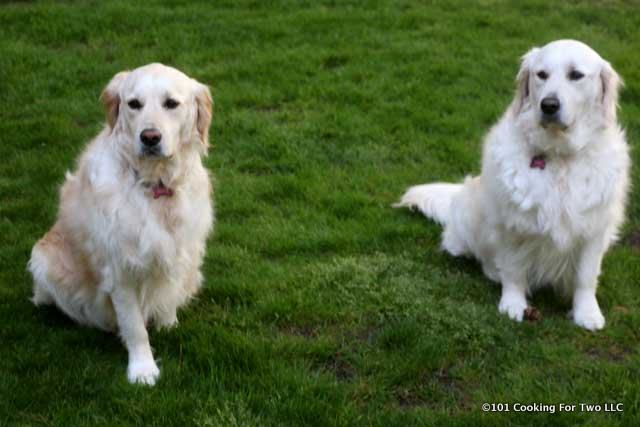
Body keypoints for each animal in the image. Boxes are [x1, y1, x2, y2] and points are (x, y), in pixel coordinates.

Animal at [28, 62, 215, 384]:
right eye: (134, 104)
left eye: (171, 103)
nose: (149, 137)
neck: (155, 185)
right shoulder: (120, 268)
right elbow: (134, 326)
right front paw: (143, 369)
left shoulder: (180, 251)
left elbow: (168, 295)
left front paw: (168, 325)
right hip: (43, 260)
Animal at [396, 40, 632, 332]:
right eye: (541, 74)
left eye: (576, 75)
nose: (549, 105)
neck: (558, 155)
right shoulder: (513, 224)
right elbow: (513, 270)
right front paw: (513, 305)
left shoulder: (594, 229)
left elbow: (585, 277)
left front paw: (586, 313)